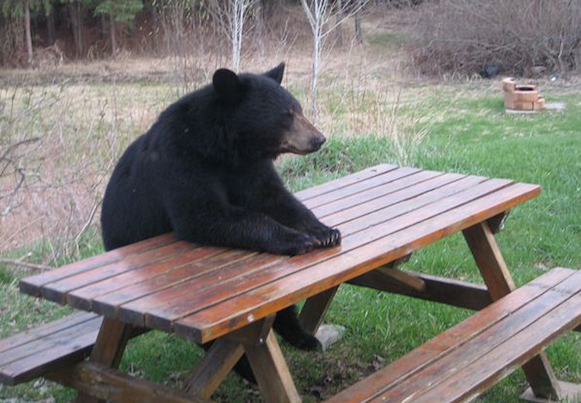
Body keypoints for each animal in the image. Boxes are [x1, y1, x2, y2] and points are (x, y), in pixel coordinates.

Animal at [101, 61, 340, 378]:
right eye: (286, 115)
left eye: (298, 108)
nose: (319, 139)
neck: (225, 146)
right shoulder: (181, 160)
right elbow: (204, 214)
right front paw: (298, 239)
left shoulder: (248, 167)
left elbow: (275, 198)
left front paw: (325, 231)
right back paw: (247, 369)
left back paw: (302, 336)